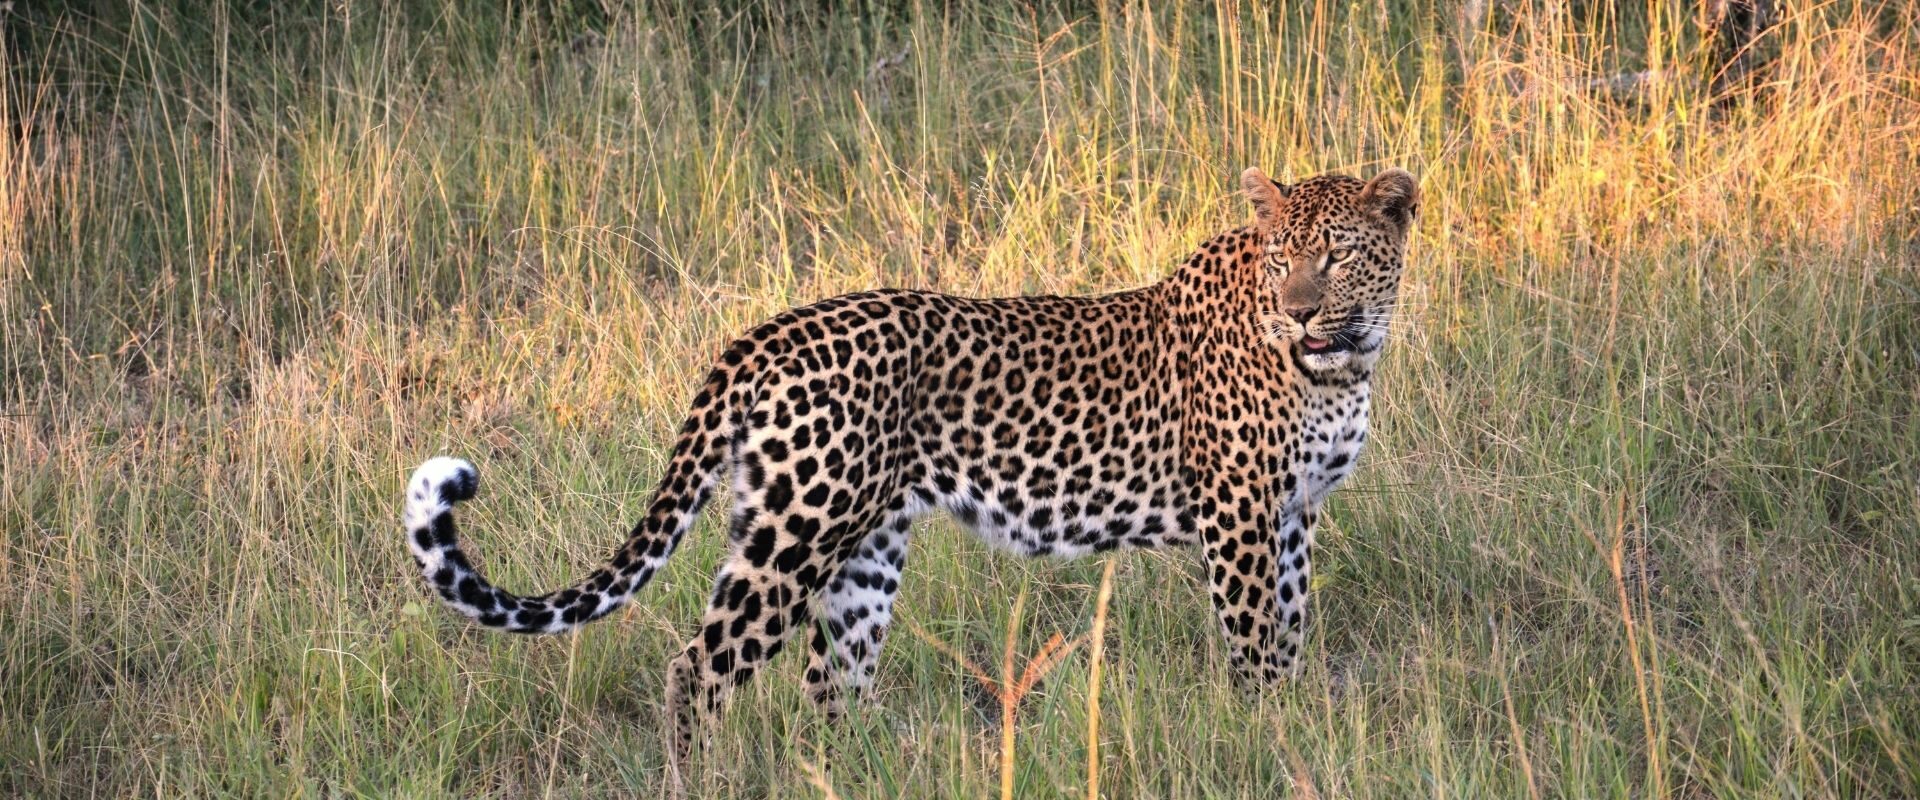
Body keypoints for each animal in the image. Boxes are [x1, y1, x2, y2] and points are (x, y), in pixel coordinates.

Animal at [397, 164, 1420, 775]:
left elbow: (1291, 627)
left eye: (1335, 256)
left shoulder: (1296, 513)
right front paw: (1267, 735)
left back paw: (848, 774)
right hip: (797, 534)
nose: (1298, 312)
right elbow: (1256, 644)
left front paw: (1294, 724)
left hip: (861, 550)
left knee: (829, 685)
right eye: (1282, 261)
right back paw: (696, 778)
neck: (1345, 363)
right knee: (700, 665)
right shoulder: (1240, 513)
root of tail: (763, 334)